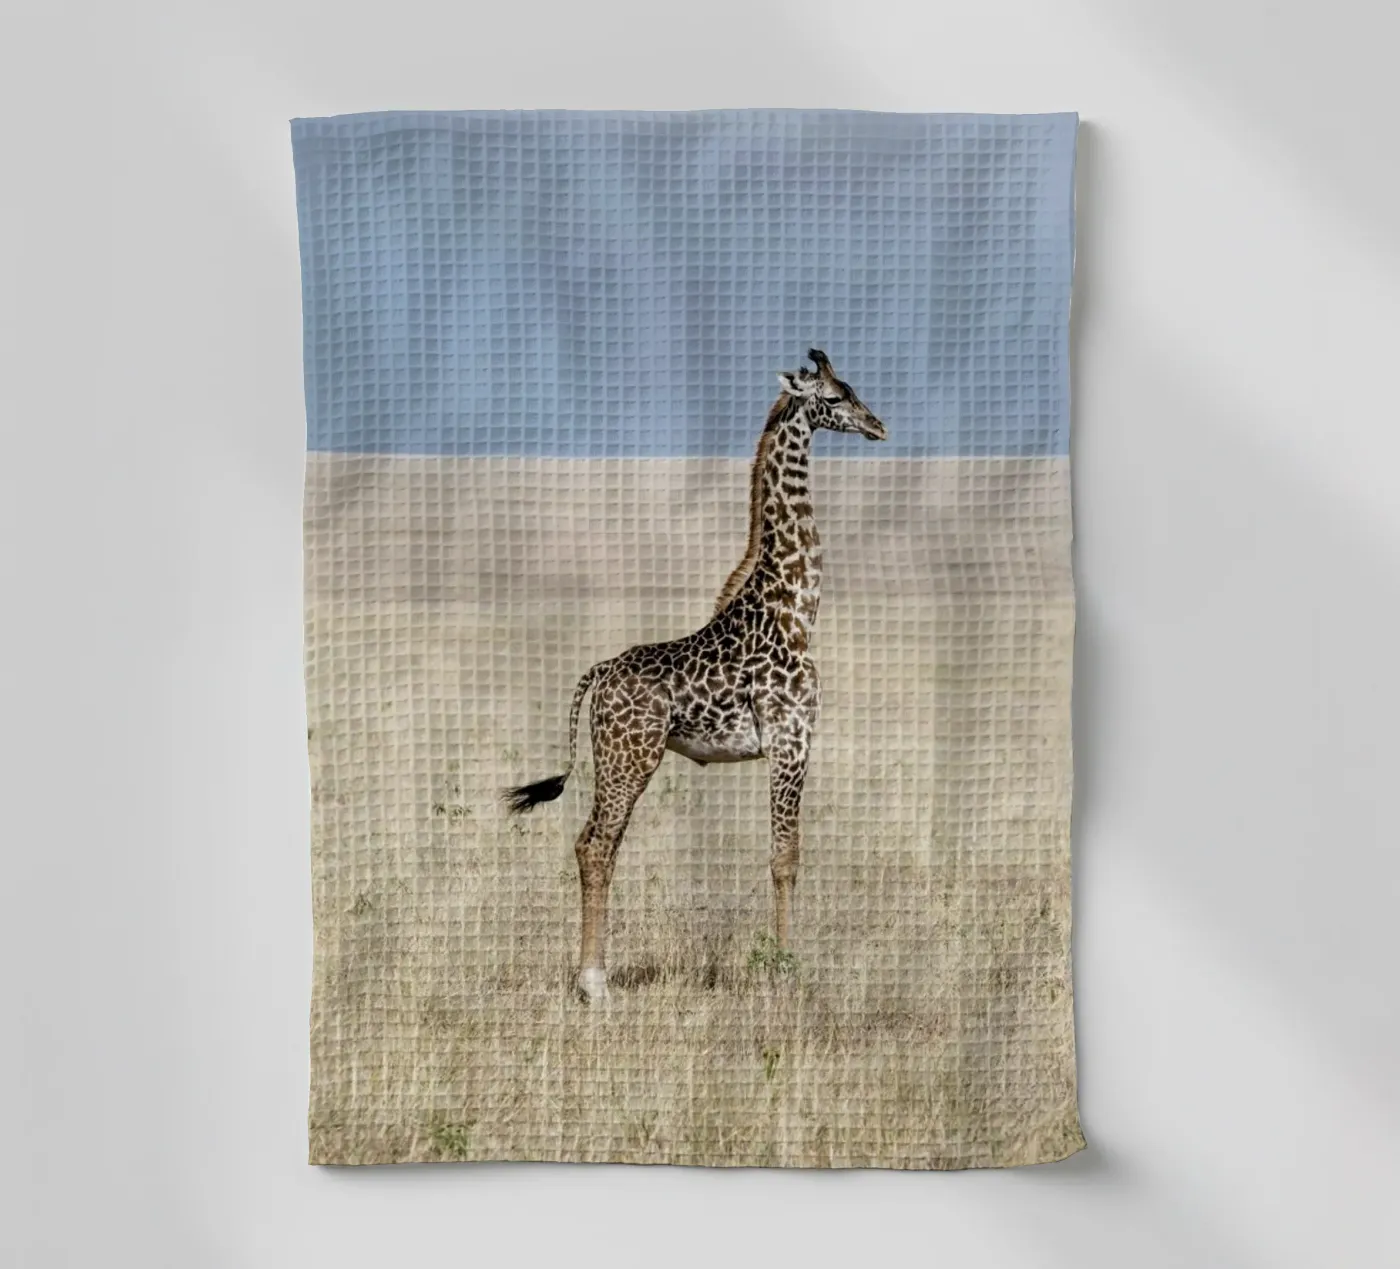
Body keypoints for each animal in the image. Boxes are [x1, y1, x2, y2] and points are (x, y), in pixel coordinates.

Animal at [504, 349, 887, 1002]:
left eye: (854, 390)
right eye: (835, 398)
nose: (878, 426)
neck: (794, 610)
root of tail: (598, 674)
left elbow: (784, 855)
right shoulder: (791, 740)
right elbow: (785, 858)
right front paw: (784, 970)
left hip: (621, 759)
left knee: (597, 844)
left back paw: (593, 977)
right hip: (630, 757)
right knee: (595, 845)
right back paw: (593, 984)